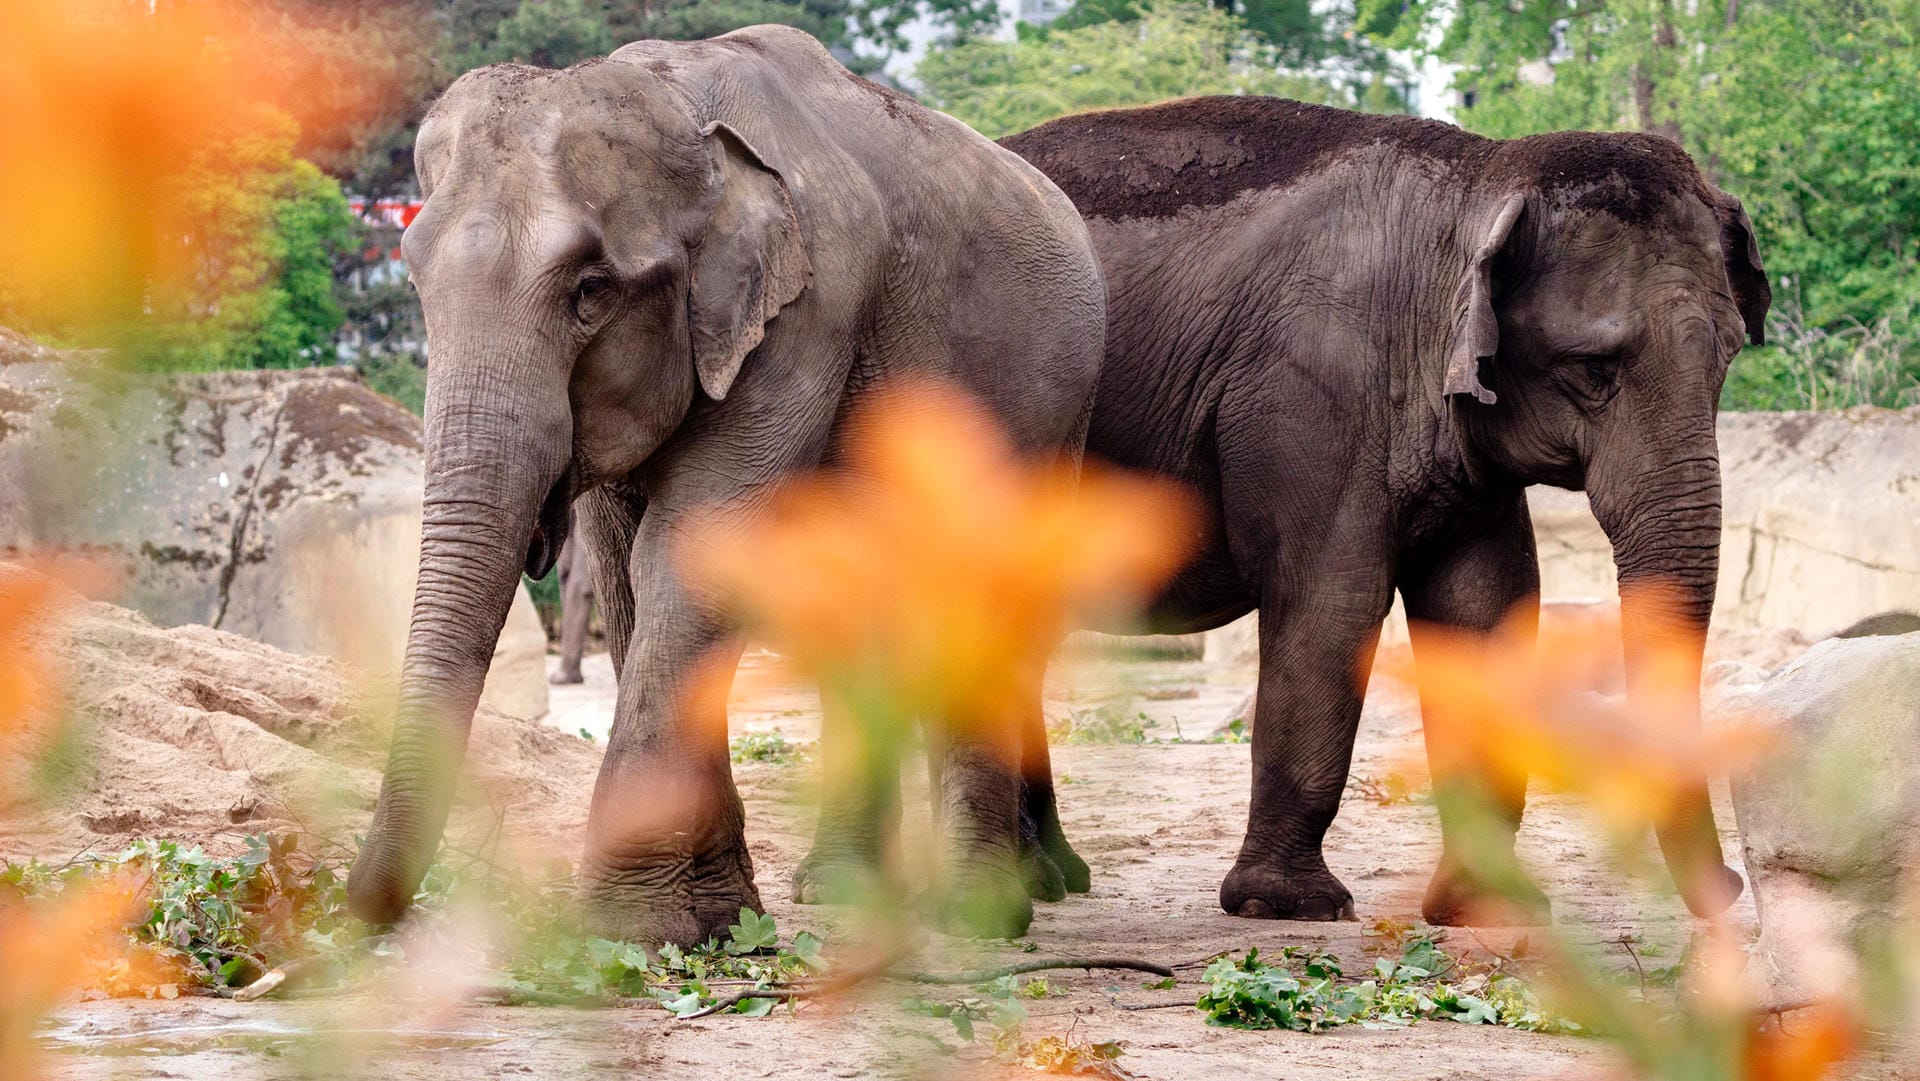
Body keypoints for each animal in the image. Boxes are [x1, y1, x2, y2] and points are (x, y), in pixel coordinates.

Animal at [337, 25, 1105, 948]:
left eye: (590, 289)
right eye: (413, 279)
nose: (349, 917)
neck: (681, 103)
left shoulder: (808, 313)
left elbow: (690, 548)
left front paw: (631, 929)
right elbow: (628, 569)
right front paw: (717, 919)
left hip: (1055, 415)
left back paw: (984, 913)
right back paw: (843, 889)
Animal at [990, 101, 1766, 925]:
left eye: (1728, 357)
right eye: (1594, 369)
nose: (1731, 886)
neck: (1482, 176)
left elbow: (1486, 609)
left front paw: (1486, 908)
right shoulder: (1310, 396)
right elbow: (1335, 604)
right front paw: (1288, 905)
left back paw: (1053, 876)